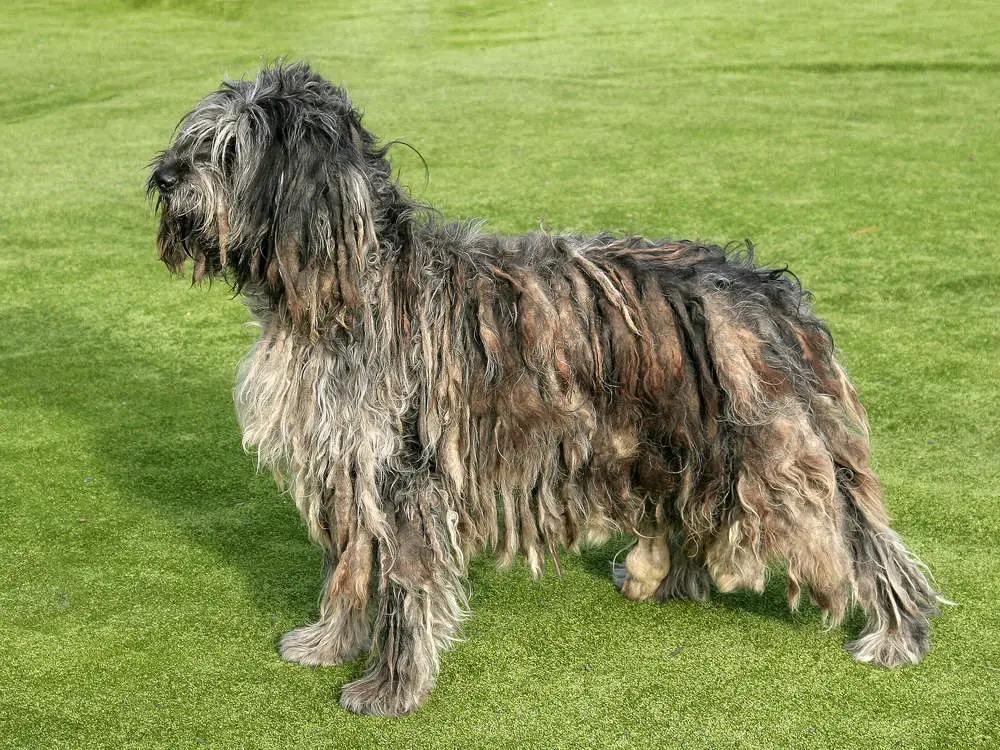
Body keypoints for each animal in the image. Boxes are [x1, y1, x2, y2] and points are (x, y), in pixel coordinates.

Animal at [146, 63, 936, 716]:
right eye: (196, 138)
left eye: (229, 149)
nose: (162, 177)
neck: (348, 289)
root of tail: (766, 290)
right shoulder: (346, 469)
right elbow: (349, 571)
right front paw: (329, 643)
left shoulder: (402, 477)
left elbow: (405, 587)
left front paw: (391, 688)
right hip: (678, 438)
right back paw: (662, 578)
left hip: (766, 451)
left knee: (858, 536)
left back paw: (897, 634)